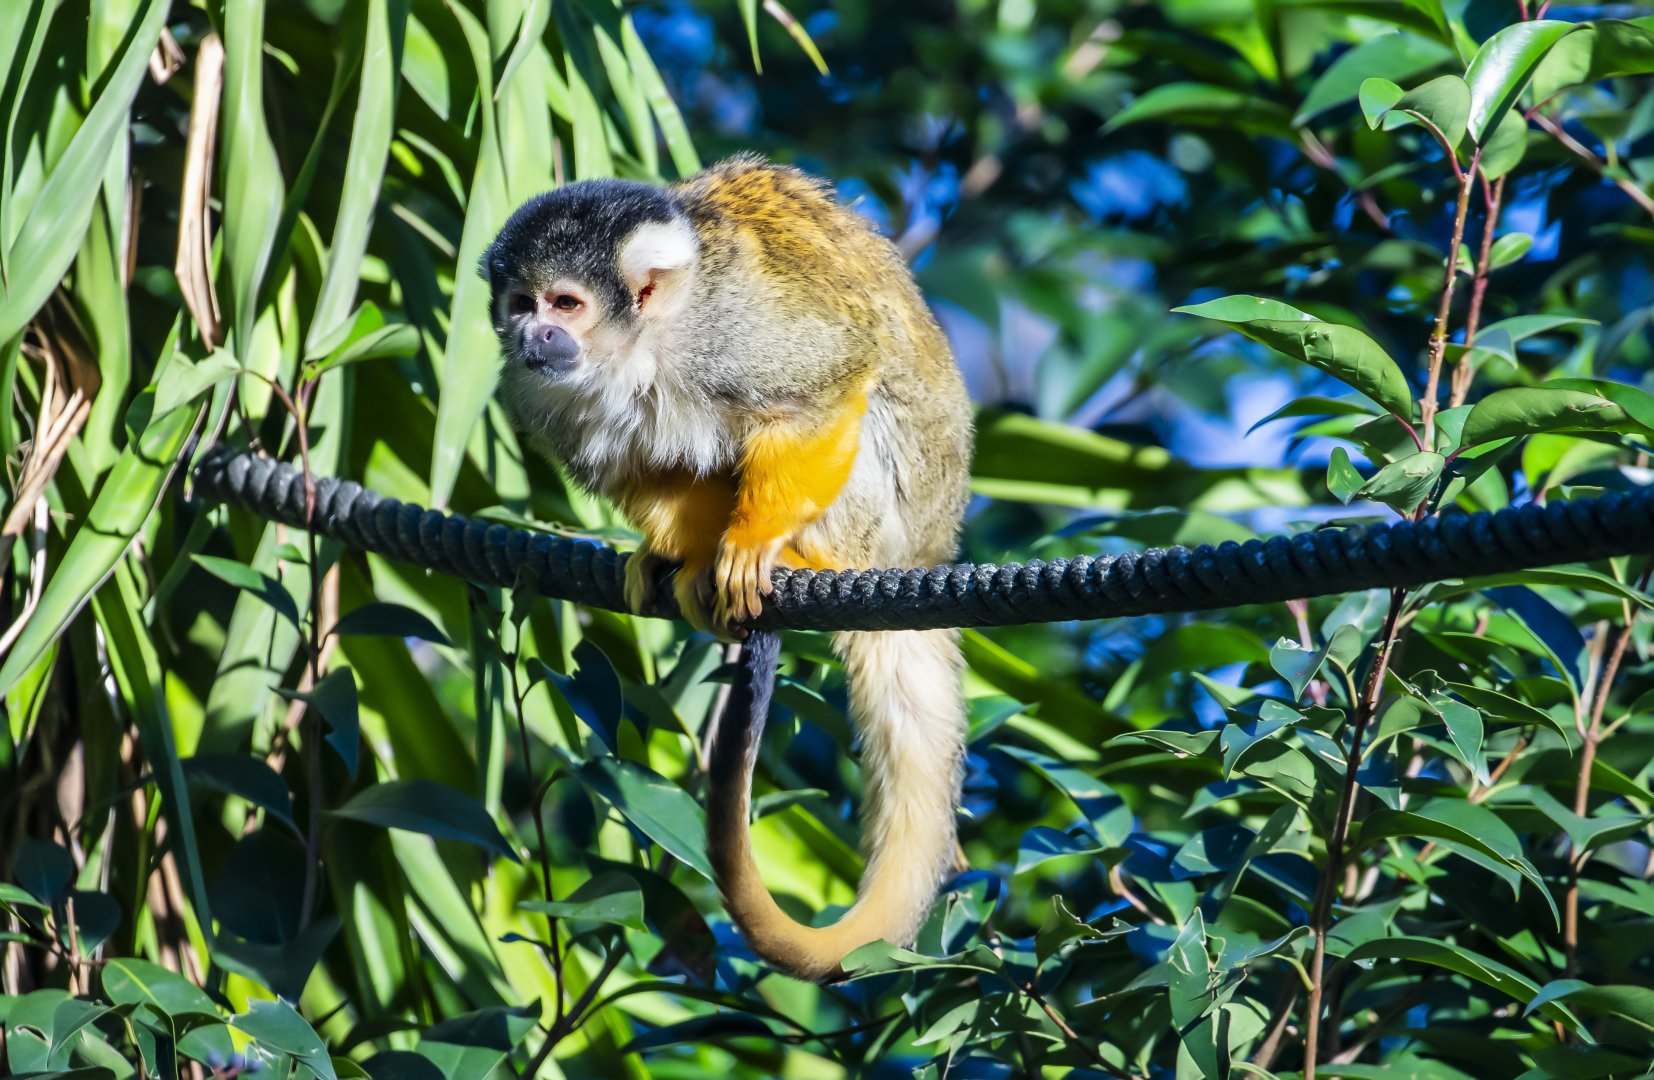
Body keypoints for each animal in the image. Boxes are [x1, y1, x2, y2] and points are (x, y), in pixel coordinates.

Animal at [481, 154, 974, 981]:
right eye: (521, 303)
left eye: (565, 303)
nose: (530, 334)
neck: (645, 344)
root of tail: (925, 553)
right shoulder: (536, 389)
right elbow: (650, 472)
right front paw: (684, 558)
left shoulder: (737, 328)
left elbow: (826, 385)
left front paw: (753, 543)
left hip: (890, 522)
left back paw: (807, 552)